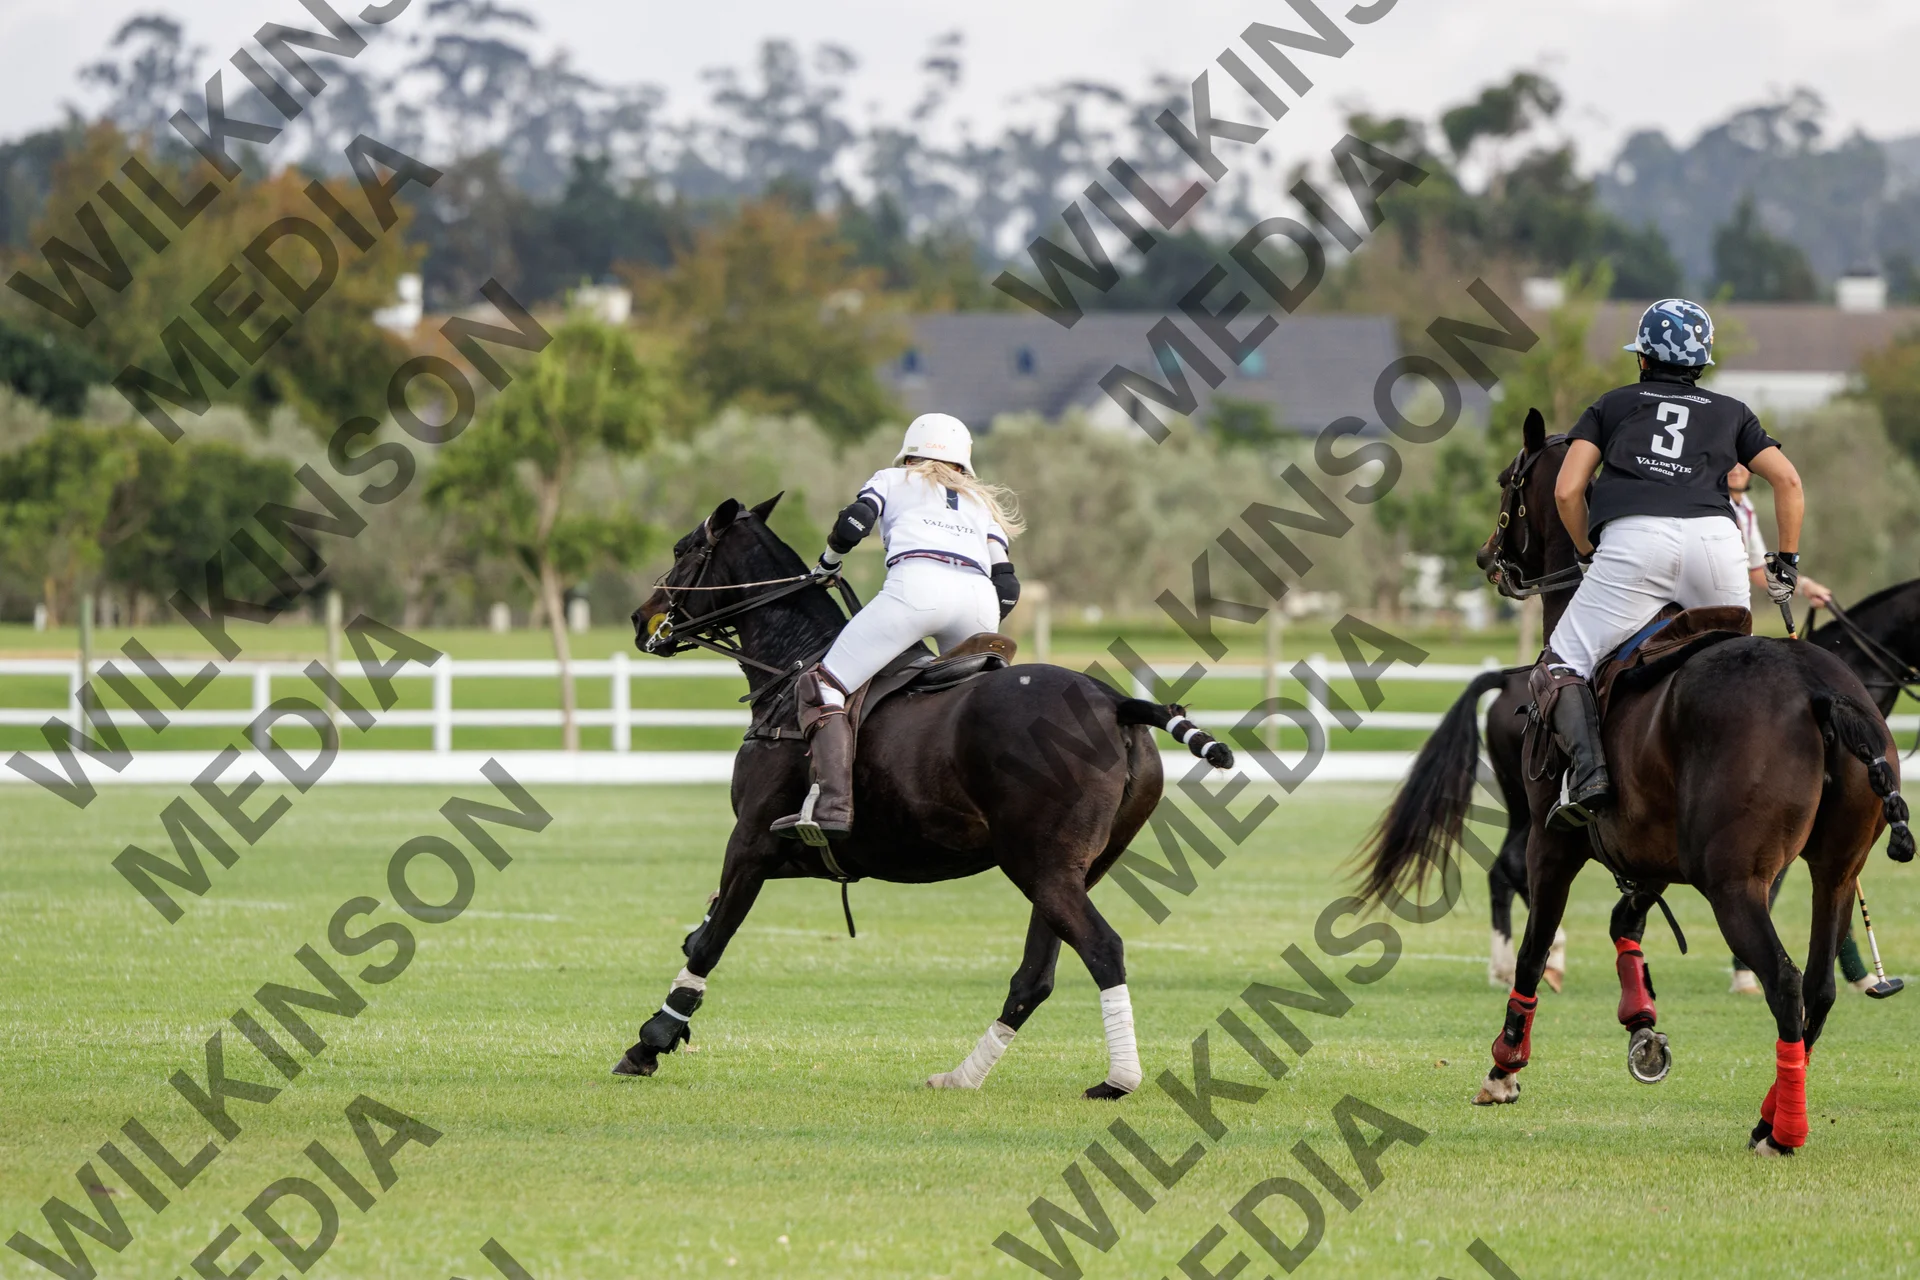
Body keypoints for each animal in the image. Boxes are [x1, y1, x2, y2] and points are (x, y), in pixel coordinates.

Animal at [611, 494, 1233, 1097]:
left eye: (683, 549)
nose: (642, 618)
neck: (790, 669)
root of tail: (1117, 703)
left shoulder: (752, 841)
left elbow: (713, 941)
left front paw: (650, 1043)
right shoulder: (808, 852)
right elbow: (707, 927)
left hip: (1041, 864)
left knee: (1102, 949)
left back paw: (1118, 1079)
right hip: (1075, 867)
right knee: (1036, 975)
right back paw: (964, 1076)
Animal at [1356, 410, 1915, 1155]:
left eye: (1508, 480)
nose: (1486, 556)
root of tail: (1820, 690)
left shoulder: (1560, 844)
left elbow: (1539, 943)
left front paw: (1506, 1066)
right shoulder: (1649, 853)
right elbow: (1625, 921)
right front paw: (1641, 1024)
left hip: (1729, 878)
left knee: (1787, 981)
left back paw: (1781, 1129)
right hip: (1836, 870)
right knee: (1817, 986)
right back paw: (1767, 1116)